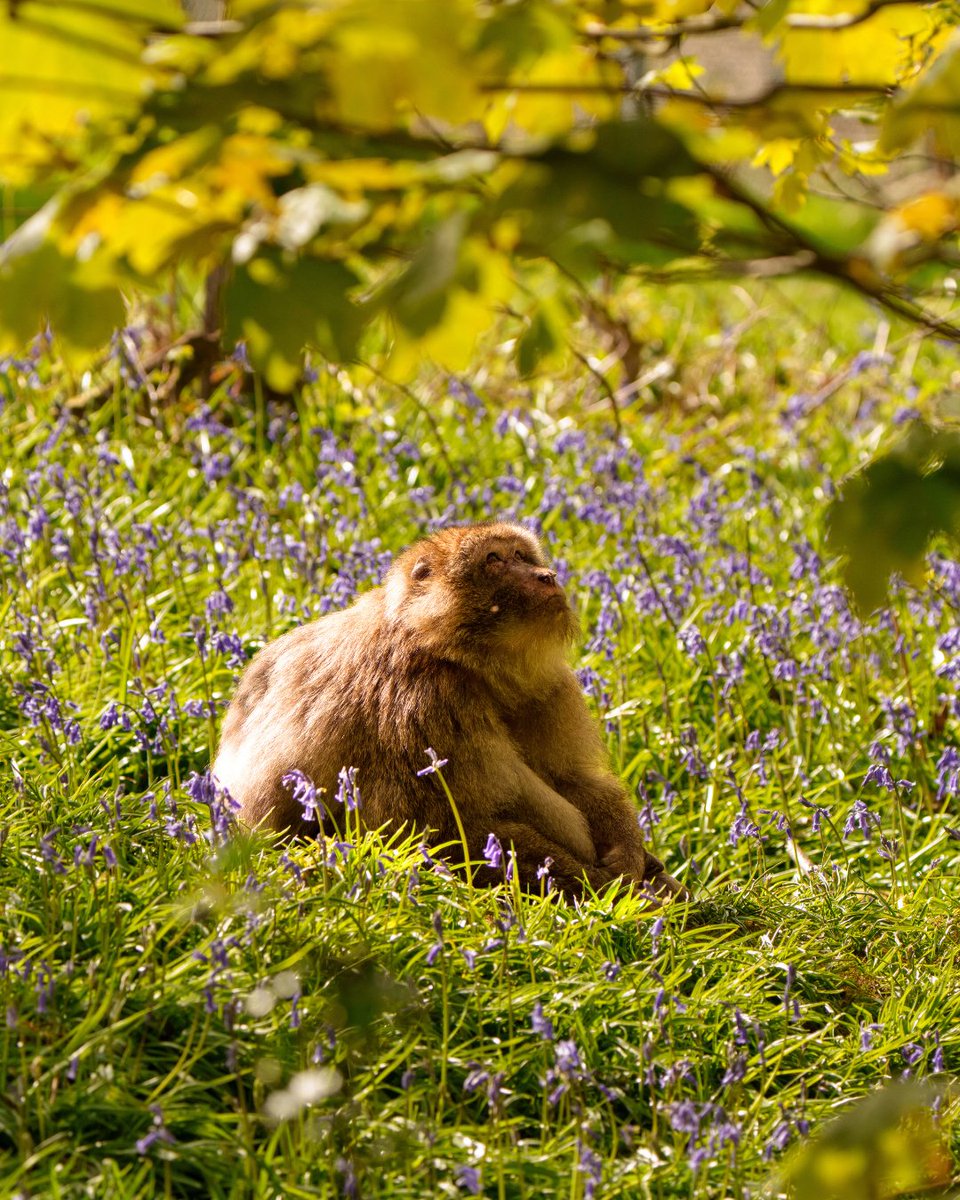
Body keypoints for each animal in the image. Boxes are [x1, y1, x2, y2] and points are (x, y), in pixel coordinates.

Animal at [213, 522, 687, 902]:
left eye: (521, 556)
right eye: (494, 560)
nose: (546, 575)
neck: (457, 657)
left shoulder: (546, 688)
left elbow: (571, 778)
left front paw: (629, 851)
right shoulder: (423, 703)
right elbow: (444, 828)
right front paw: (603, 886)